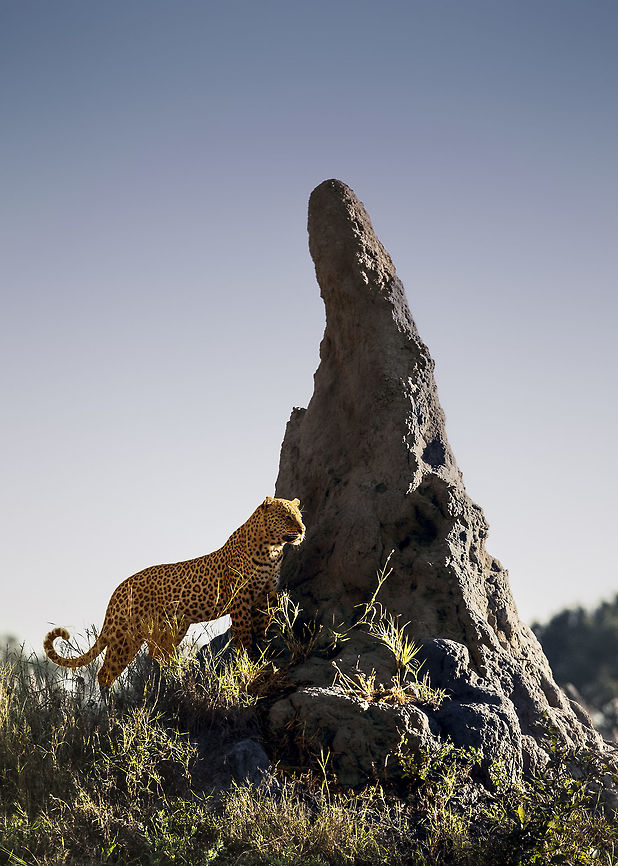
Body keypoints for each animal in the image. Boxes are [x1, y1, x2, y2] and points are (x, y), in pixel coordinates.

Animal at [44, 496, 305, 691]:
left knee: (157, 656)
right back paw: (111, 709)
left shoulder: (265, 597)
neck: (272, 549)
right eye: (286, 516)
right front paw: (245, 661)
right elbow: (243, 635)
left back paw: (170, 679)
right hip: (124, 634)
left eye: (299, 516)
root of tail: (118, 589)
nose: (303, 530)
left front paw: (264, 656)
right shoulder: (240, 601)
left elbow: (261, 629)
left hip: (168, 630)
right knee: (105, 672)